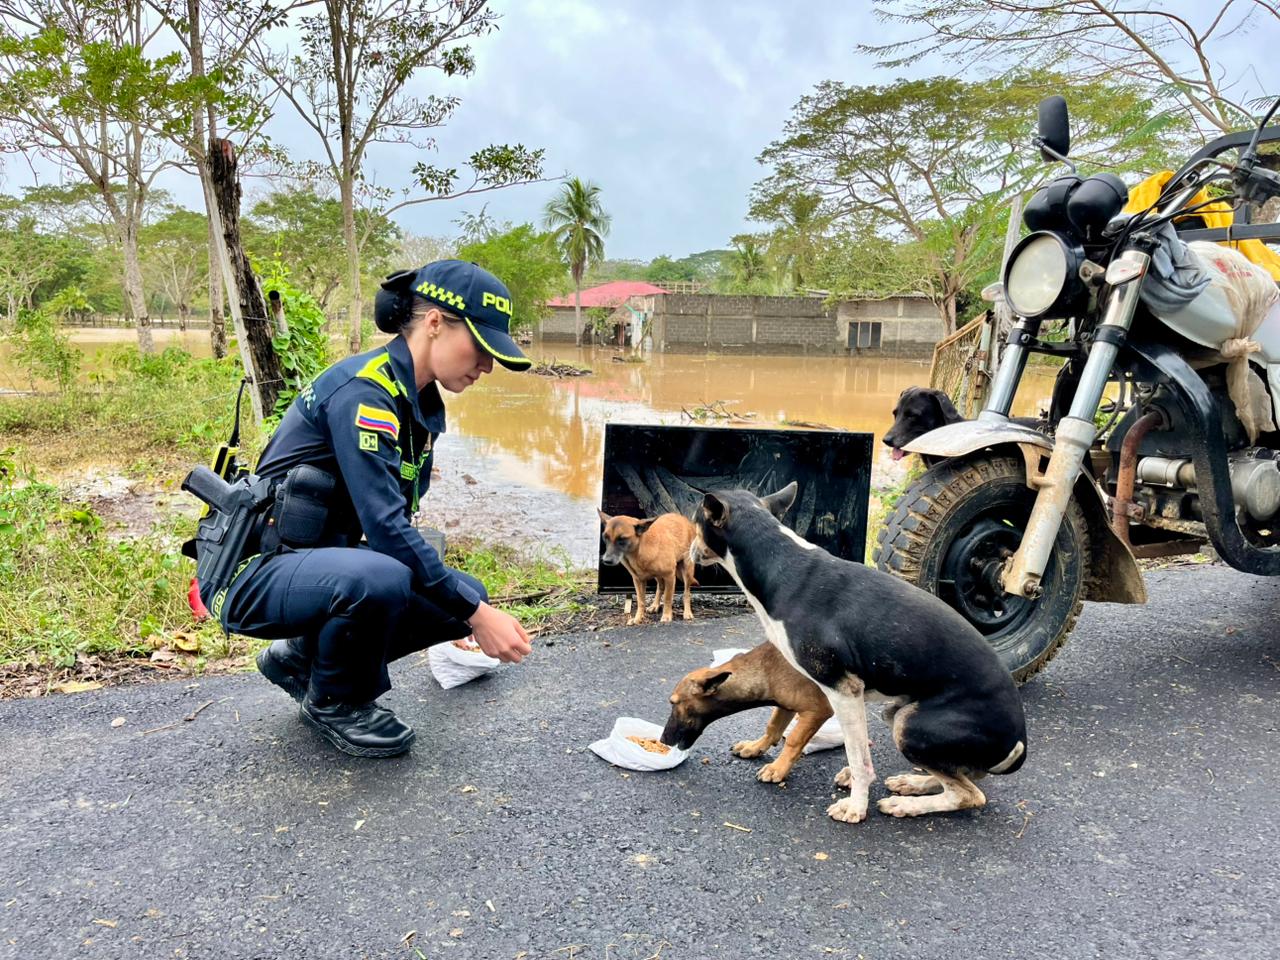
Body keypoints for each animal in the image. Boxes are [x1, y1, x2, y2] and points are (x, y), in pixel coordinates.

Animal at [660, 642, 835, 783]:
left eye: (673, 702)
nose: (662, 740)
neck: (768, 671)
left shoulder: (818, 710)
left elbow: (793, 740)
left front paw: (778, 768)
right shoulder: (786, 704)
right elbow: (773, 727)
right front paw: (755, 747)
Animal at [687, 481, 1027, 822]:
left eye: (694, 522)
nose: (689, 552)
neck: (779, 563)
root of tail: (1018, 741)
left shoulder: (843, 690)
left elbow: (856, 754)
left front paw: (855, 805)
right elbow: (788, 723)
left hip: (909, 724)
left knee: (968, 794)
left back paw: (905, 804)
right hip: (897, 713)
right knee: (963, 775)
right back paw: (913, 783)